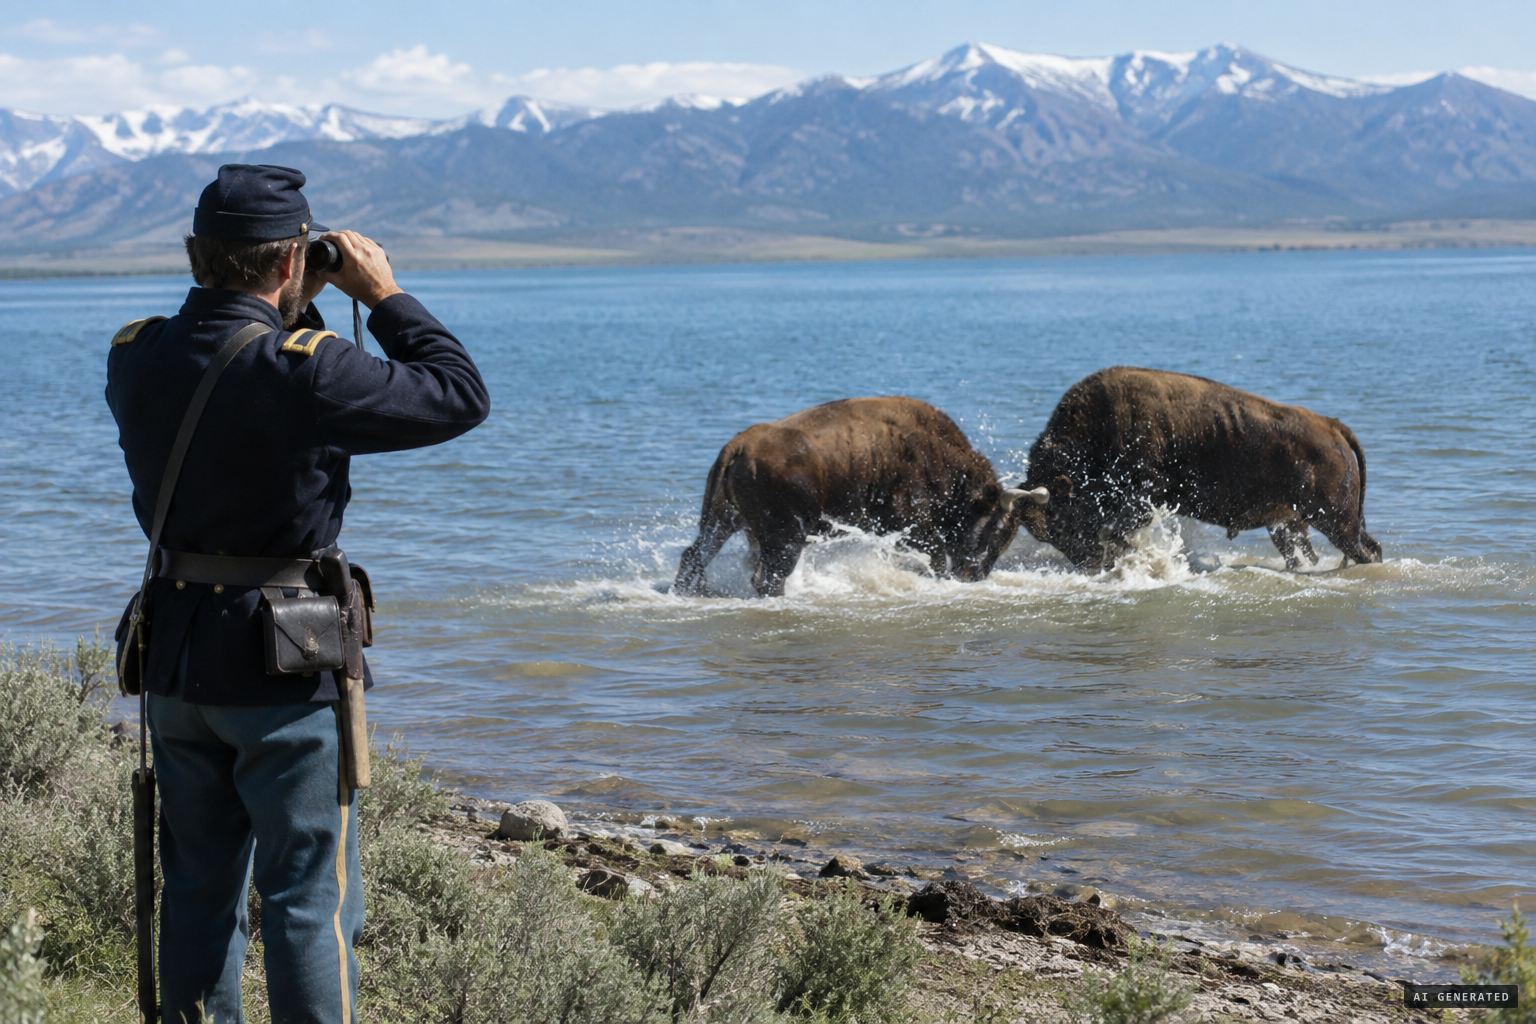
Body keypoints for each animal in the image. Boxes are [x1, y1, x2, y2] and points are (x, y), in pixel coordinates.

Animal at [673, 397, 1048, 597]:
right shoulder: (909, 526)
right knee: (768, 577)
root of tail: (738, 446)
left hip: (721, 521)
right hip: (785, 536)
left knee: (694, 555)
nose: (975, 575)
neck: (934, 456)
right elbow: (937, 557)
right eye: (994, 530)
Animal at [1018, 367, 1383, 570]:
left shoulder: (1144, 498)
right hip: (1293, 523)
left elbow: (1122, 533)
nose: (1087, 563)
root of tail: (1330, 425)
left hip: (1335, 520)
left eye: (1060, 517)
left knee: (1366, 550)